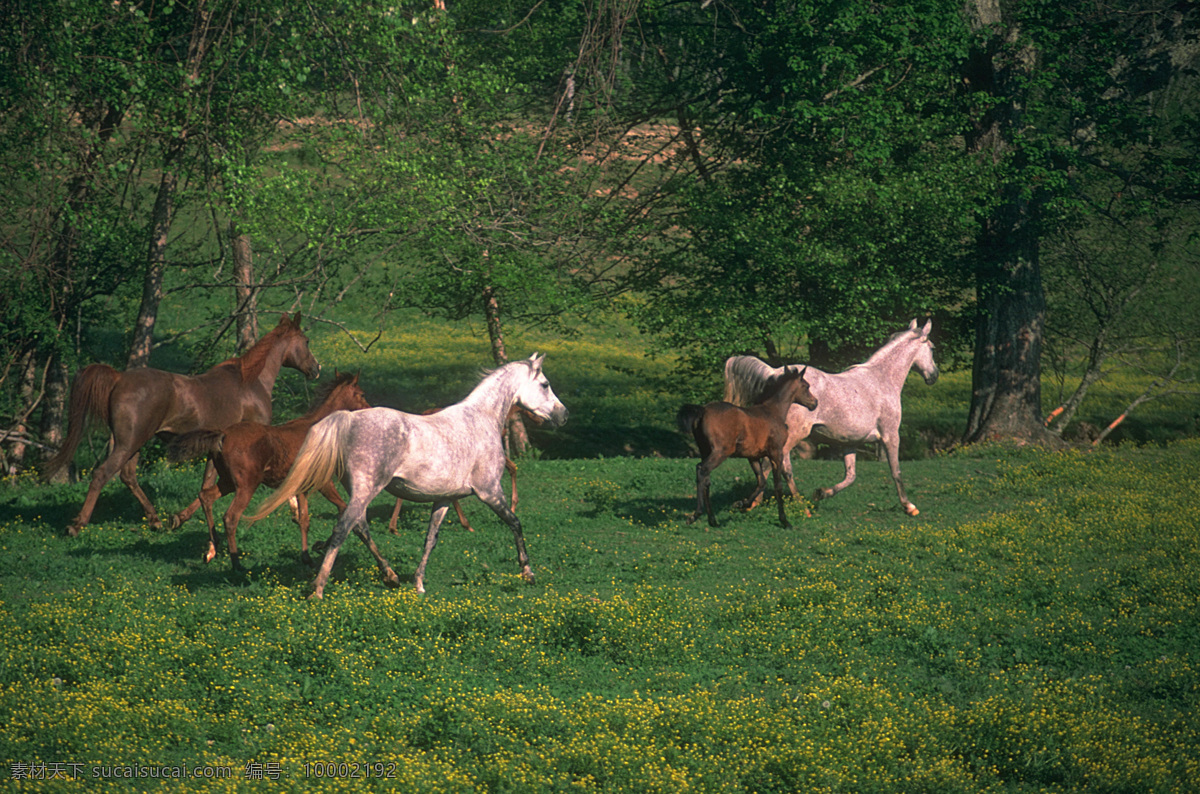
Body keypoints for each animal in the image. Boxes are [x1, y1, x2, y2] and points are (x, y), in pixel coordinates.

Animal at [43, 313, 321, 535]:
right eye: (307, 341)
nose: (316, 368)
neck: (251, 383)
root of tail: (119, 378)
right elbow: (210, 487)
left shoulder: (215, 449)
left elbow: (206, 485)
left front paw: (176, 518)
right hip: (129, 442)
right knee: (102, 474)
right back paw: (77, 524)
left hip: (132, 442)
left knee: (127, 476)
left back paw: (155, 520)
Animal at [165, 371, 370, 570]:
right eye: (361, 394)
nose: (369, 408)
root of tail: (223, 434)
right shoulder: (324, 483)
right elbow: (342, 510)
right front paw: (319, 546)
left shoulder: (302, 487)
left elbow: (304, 520)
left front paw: (307, 557)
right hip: (246, 485)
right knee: (231, 517)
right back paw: (236, 564)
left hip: (227, 482)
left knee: (205, 496)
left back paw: (213, 547)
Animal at [248, 354, 568, 598]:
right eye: (545, 384)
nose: (564, 415)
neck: (481, 420)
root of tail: (348, 418)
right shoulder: (489, 490)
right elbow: (515, 523)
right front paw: (528, 572)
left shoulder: (444, 500)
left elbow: (430, 539)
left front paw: (419, 584)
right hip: (366, 489)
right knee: (343, 528)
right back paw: (318, 588)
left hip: (358, 491)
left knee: (360, 527)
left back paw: (390, 576)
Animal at [677, 366, 817, 528]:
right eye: (806, 386)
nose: (815, 403)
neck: (773, 412)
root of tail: (702, 410)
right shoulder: (776, 453)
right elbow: (778, 486)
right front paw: (784, 520)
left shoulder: (753, 457)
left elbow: (761, 482)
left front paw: (741, 504)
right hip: (720, 452)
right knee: (702, 470)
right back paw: (695, 515)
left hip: (705, 450)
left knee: (706, 480)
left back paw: (713, 520)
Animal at [723, 319, 938, 516]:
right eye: (932, 347)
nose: (934, 376)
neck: (881, 379)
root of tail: (773, 373)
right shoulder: (890, 435)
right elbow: (896, 471)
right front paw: (909, 506)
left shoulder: (850, 443)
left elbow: (850, 476)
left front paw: (821, 493)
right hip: (793, 436)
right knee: (774, 465)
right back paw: (764, 504)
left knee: (779, 467)